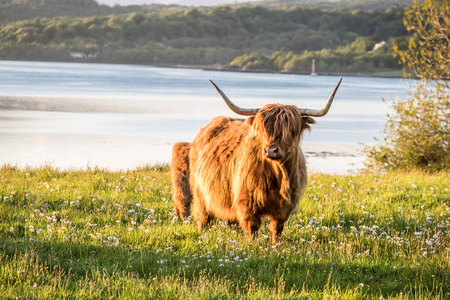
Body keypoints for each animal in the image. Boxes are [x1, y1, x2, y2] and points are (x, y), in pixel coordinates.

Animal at [171, 78, 342, 241]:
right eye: (263, 129)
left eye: (291, 130)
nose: (271, 150)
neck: (279, 175)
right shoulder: (247, 201)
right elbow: (252, 228)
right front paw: (252, 246)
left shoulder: (286, 205)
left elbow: (277, 229)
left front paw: (276, 246)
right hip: (200, 192)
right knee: (204, 218)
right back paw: (203, 236)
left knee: (231, 221)